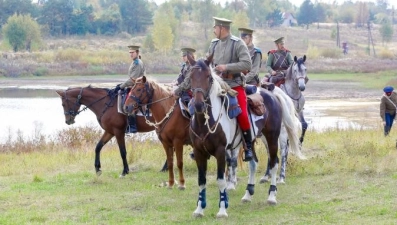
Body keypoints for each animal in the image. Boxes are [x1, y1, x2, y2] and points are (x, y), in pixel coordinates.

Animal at [187, 56, 302, 218]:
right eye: (191, 77)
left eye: (208, 77)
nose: (198, 105)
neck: (206, 121)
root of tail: (272, 94)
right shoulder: (199, 152)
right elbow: (201, 180)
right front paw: (199, 209)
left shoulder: (221, 151)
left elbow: (221, 180)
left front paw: (222, 210)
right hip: (251, 141)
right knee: (253, 163)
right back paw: (248, 194)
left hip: (272, 138)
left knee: (274, 163)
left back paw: (272, 196)